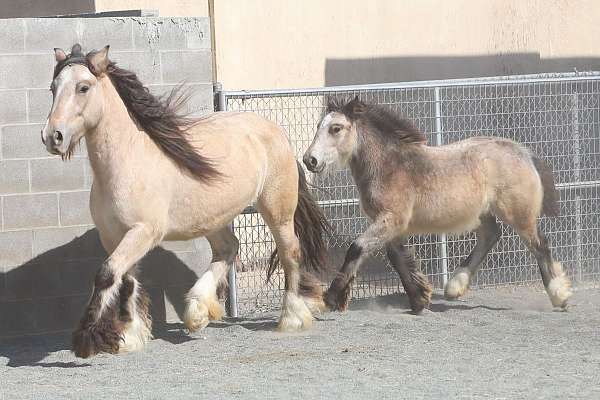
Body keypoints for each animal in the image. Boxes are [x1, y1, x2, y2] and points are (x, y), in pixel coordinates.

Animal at [43, 44, 328, 360]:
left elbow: (106, 275)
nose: (52, 137)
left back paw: (291, 318)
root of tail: (275, 131)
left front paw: (87, 340)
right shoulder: (114, 236)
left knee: (290, 252)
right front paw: (130, 336)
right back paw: (197, 312)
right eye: (53, 88)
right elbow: (125, 280)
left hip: (277, 210)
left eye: (83, 87)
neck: (126, 162)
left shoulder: (143, 233)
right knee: (228, 248)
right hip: (213, 218)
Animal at [304, 96, 572, 312]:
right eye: (318, 127)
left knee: (539, 245)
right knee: (490, 235)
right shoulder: (390, 224)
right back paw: (455, 286)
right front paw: (419, 299)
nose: (310, 160)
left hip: (518, 214)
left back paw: (559, 295)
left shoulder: (390, 219)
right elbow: (398, 258)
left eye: (336, 128)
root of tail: (524, 153)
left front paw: (330, 298)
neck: (390, 166)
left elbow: (357, 248)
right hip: (482, 214)